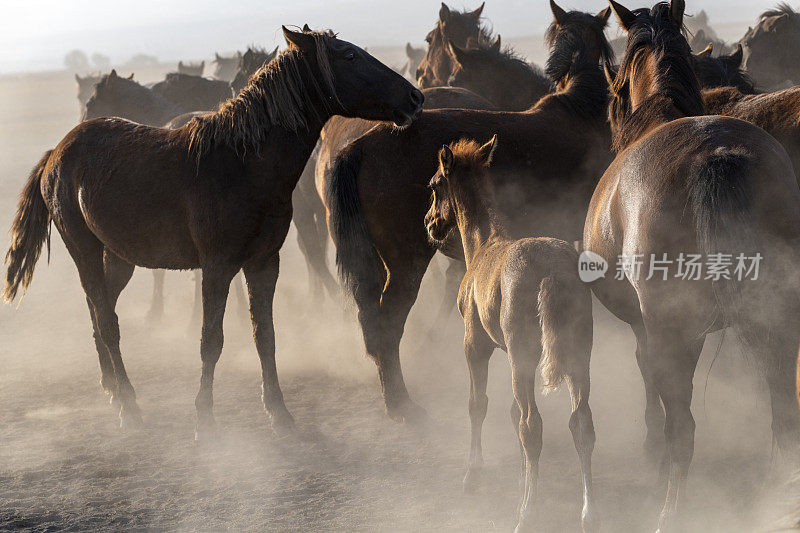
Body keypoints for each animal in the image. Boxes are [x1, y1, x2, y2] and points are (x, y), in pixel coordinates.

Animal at [3, 27, 424, 438]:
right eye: (349, 55)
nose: (415, 96)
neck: (242, 163)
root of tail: (58, 152)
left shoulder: (263, 264)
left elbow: (265, 336)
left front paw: (279, 413)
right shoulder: (217, 267)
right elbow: (211, 340)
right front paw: (204, 420)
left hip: (119, 257)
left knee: (99, 310)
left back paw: (112, 389)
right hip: (84, 250)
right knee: (107, 322)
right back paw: (129, 407)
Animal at [324, 3, 612, 420]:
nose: (422, 78)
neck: (583, 112)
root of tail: (360, 145)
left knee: (372, 325)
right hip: (407, 262)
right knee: (389, 325)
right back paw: (402, 402)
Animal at [428, 138, 596, 532]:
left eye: (434, 185)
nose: (429, 224)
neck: (483, 247)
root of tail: (552, 271)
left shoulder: (475, 345)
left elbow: (479, 403)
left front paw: (472, 474)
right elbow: (510, 409)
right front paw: (522, 477)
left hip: (523, 356)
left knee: (532, 425)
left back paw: (525, 514)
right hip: (577, 355)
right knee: (581, 423)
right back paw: (589, 514)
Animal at [584, 3, 800, 528]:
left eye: (615, 83)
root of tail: (717, 153)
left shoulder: (650, 328)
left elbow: (648, 380)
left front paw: (652, 453)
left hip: (671, 325)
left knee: (684, 426)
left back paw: (671, 511)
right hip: (777, 311)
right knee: (783, 409)